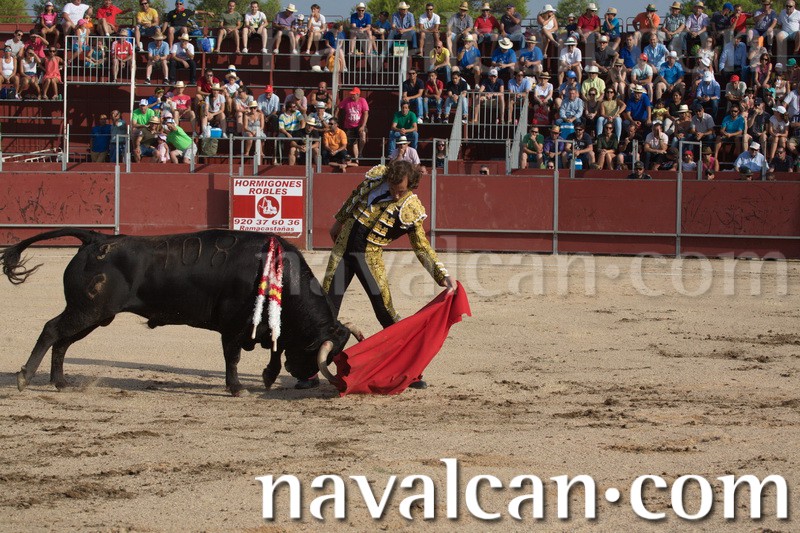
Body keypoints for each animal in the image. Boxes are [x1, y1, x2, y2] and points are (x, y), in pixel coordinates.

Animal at [1, 228, 357, 396]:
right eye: (318, 352)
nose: (303, 376)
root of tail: (96, 238)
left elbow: (275, 345)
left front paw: (267, 377)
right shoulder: (232, 326)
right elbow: (233, 357)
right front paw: (237, 387)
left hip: (92, 315)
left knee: (62, 341)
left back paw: (61, 383)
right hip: (88, 309)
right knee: (52, 330)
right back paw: (24, 377)